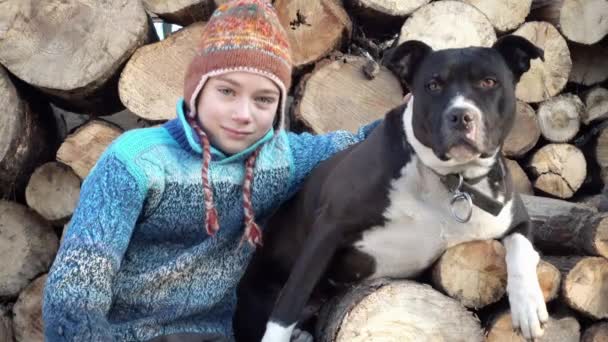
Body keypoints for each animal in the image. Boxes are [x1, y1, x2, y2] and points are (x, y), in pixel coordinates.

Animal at [234, 35, 548, 342]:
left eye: (489, 82)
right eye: (433, 85)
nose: (461, 115)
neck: (449, 179)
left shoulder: (516, 218)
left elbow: (521, 250)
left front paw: (528, 305)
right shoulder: (328, 227)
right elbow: (290, 301)